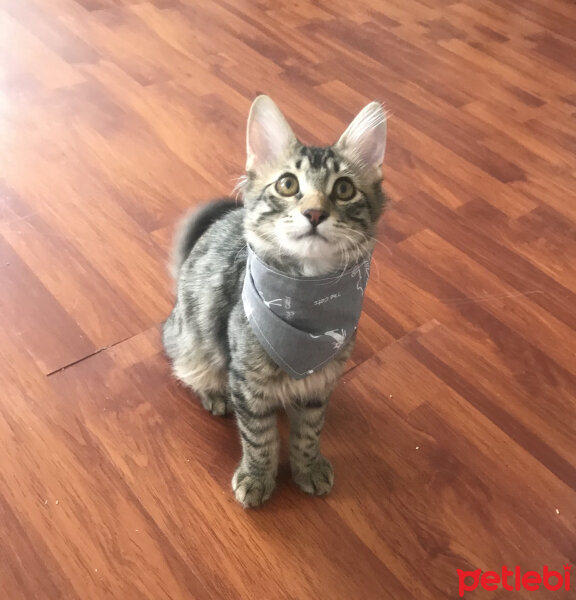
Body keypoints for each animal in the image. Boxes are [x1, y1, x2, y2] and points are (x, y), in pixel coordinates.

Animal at [162, 95, 388, 506]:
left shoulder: (319, 384)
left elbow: (309, 433)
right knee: (190, 368)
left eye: (343, 189)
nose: (314, 213)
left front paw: (307, 468)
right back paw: (214, 395)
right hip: (195, 345)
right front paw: (257, 479)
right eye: (287, 184)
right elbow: (259, 439)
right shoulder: (247, 382)